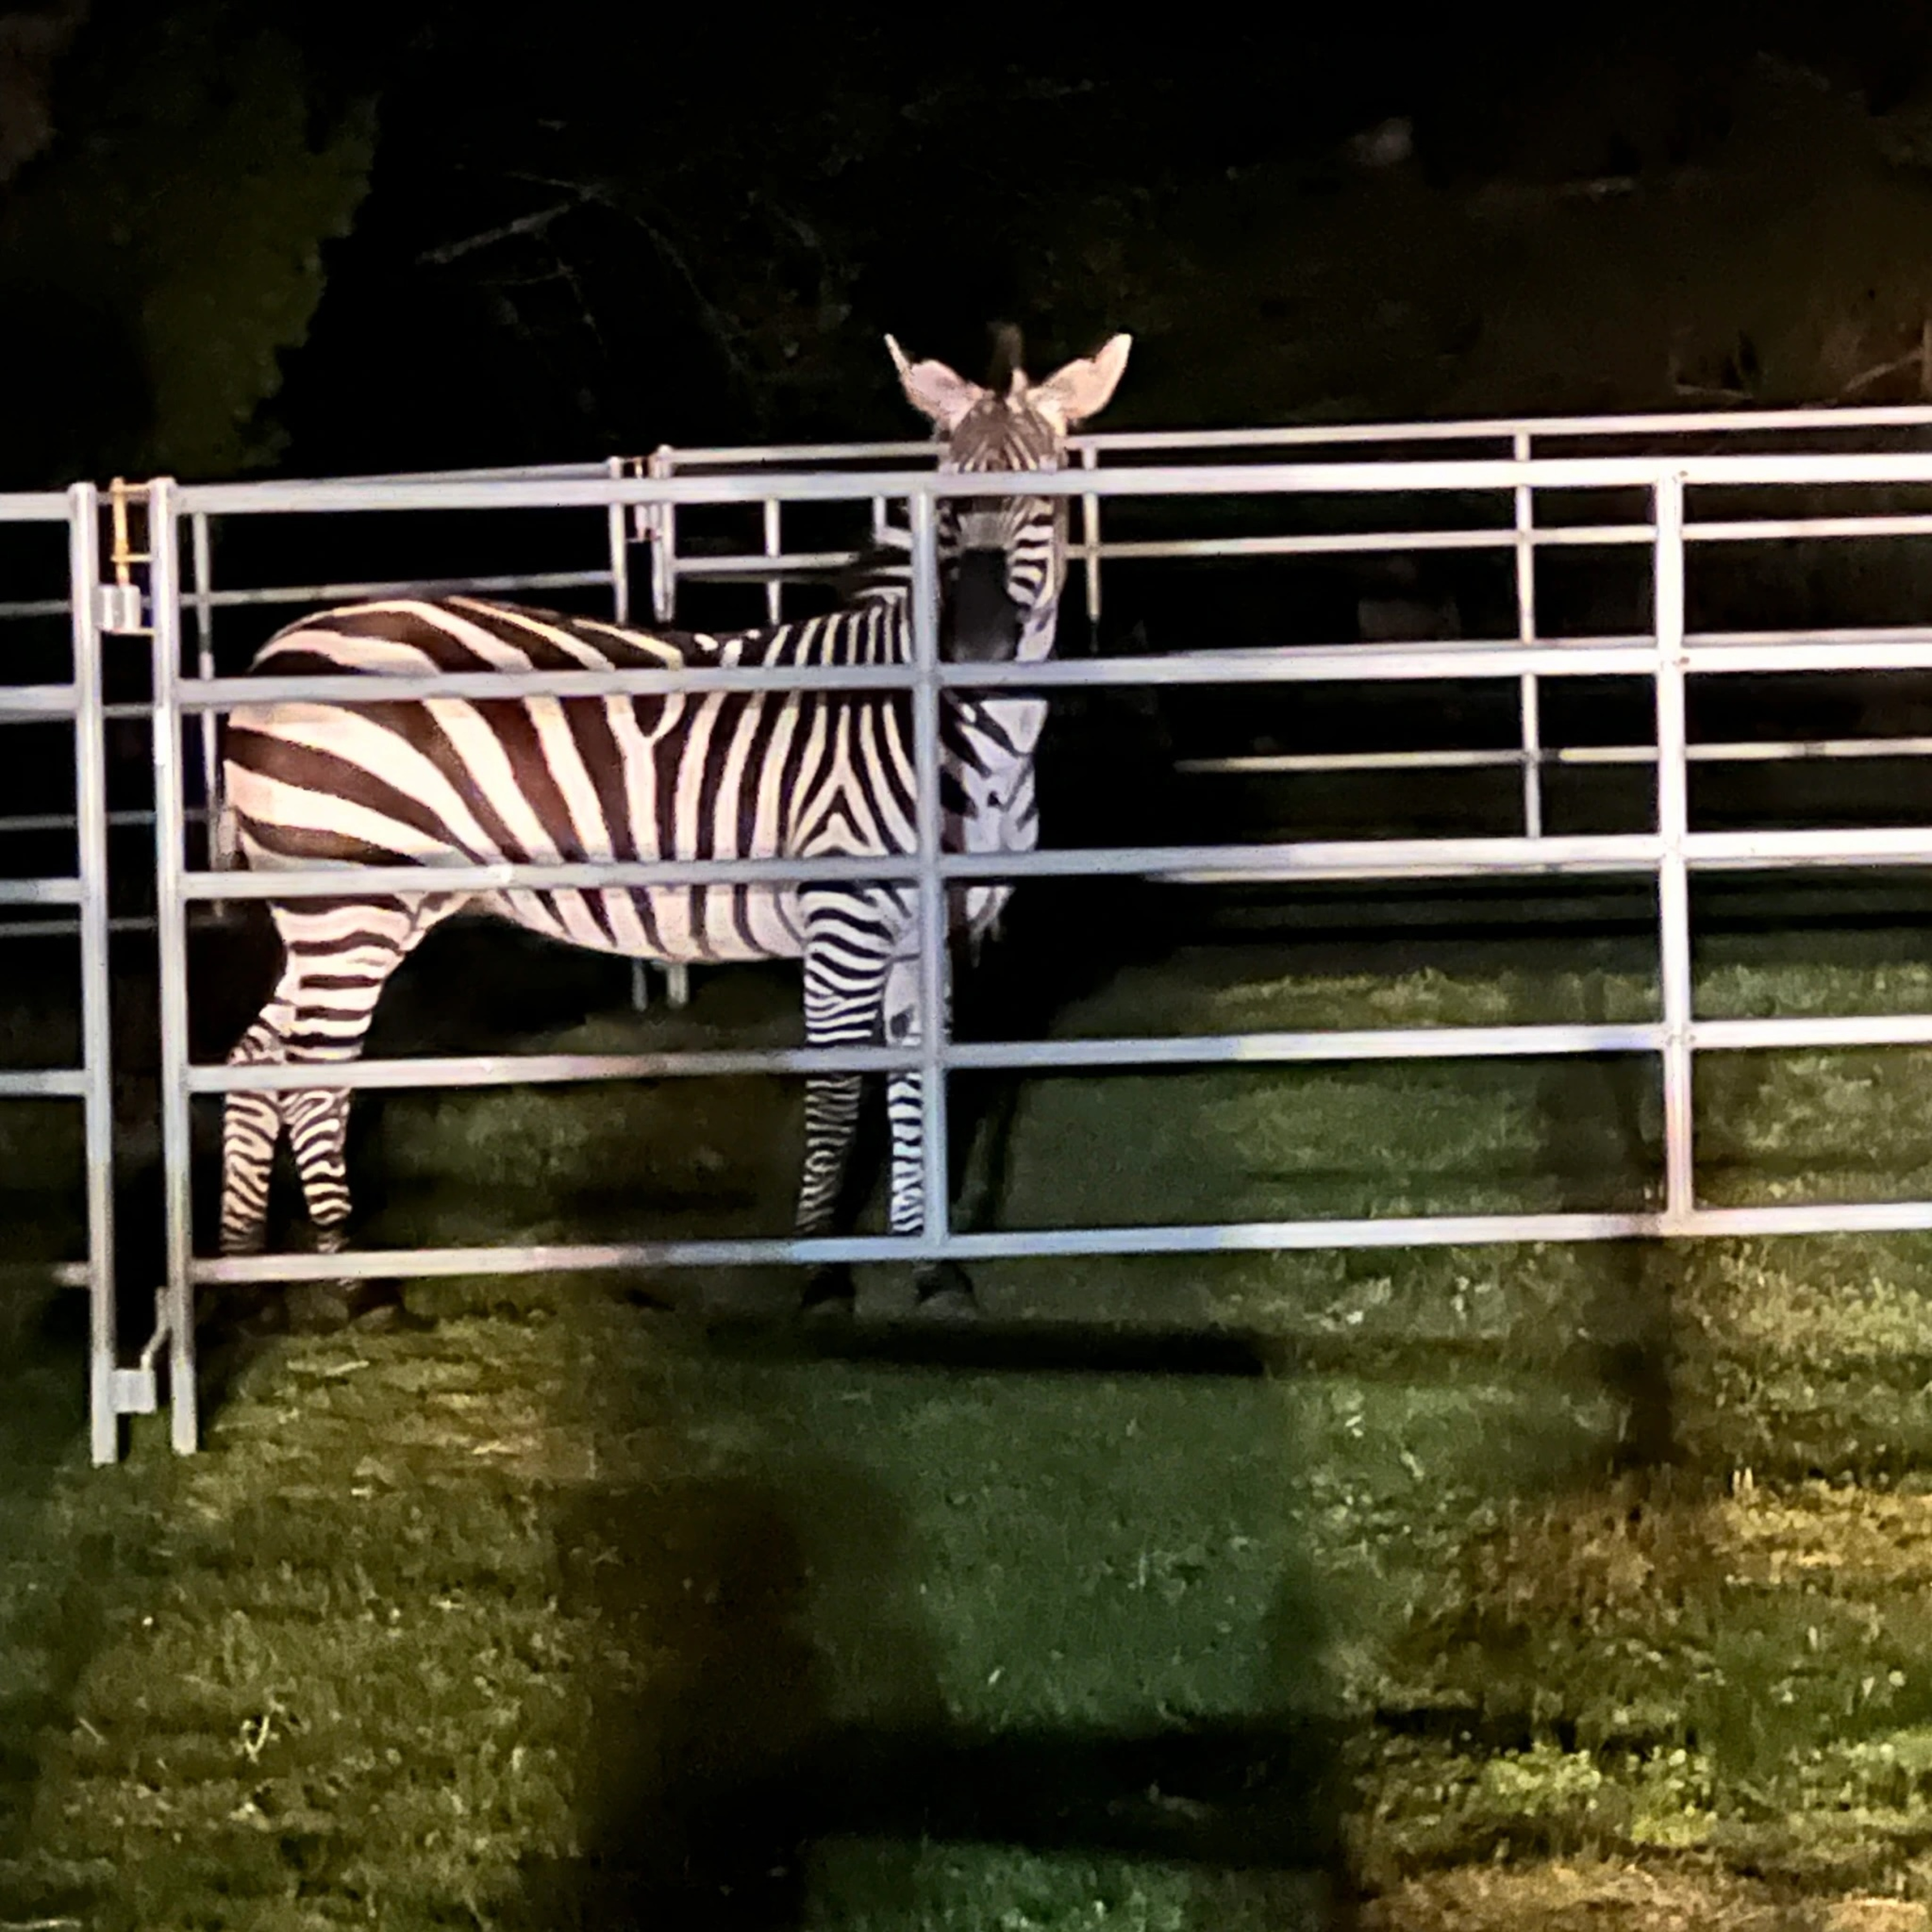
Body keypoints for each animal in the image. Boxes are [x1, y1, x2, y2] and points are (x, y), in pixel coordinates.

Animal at [216, 330, 1132, 1326]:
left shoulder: (927, 933)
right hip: (350, 903)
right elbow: (836, 1094)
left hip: (346, 912)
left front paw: (929, 1268)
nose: (974, 642)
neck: (952, 731)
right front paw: (820, 1268)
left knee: (255, 1058)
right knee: (311, 1077)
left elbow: (916, 1084)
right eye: (944, 503)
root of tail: (274, 651)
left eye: (1044, 501)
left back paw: (241, 1272)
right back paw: (357, 1285)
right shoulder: (842, 919)